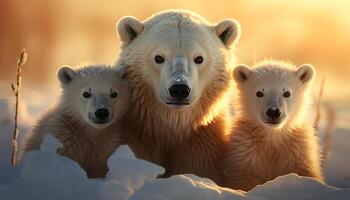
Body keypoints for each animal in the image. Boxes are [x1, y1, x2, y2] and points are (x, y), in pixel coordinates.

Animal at [115, 9, 241, 184]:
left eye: (199, 58)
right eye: (159, 57)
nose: (179, 89)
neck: (174, 124)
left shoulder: (203, 143)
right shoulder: (136, 136)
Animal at [224, 60, 326, 191]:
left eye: (287, 93)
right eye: (259, 93)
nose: (273, 112)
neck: (273, 136)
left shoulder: (297, 152)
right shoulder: (246, 153)